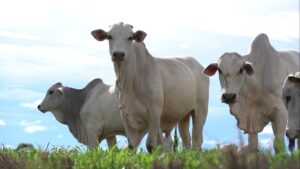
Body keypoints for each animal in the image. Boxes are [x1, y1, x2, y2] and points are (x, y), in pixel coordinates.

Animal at [91, 22, 209, 152]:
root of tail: (199, 65)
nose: (118, 54)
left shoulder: (155, 112)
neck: (130, 82)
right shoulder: (125, 114)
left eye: (130, 37)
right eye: (109, 36)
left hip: (200, 109)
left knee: (197, 140)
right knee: (186, 141)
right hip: (184, 115)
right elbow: (132, 146)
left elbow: (151, 144)